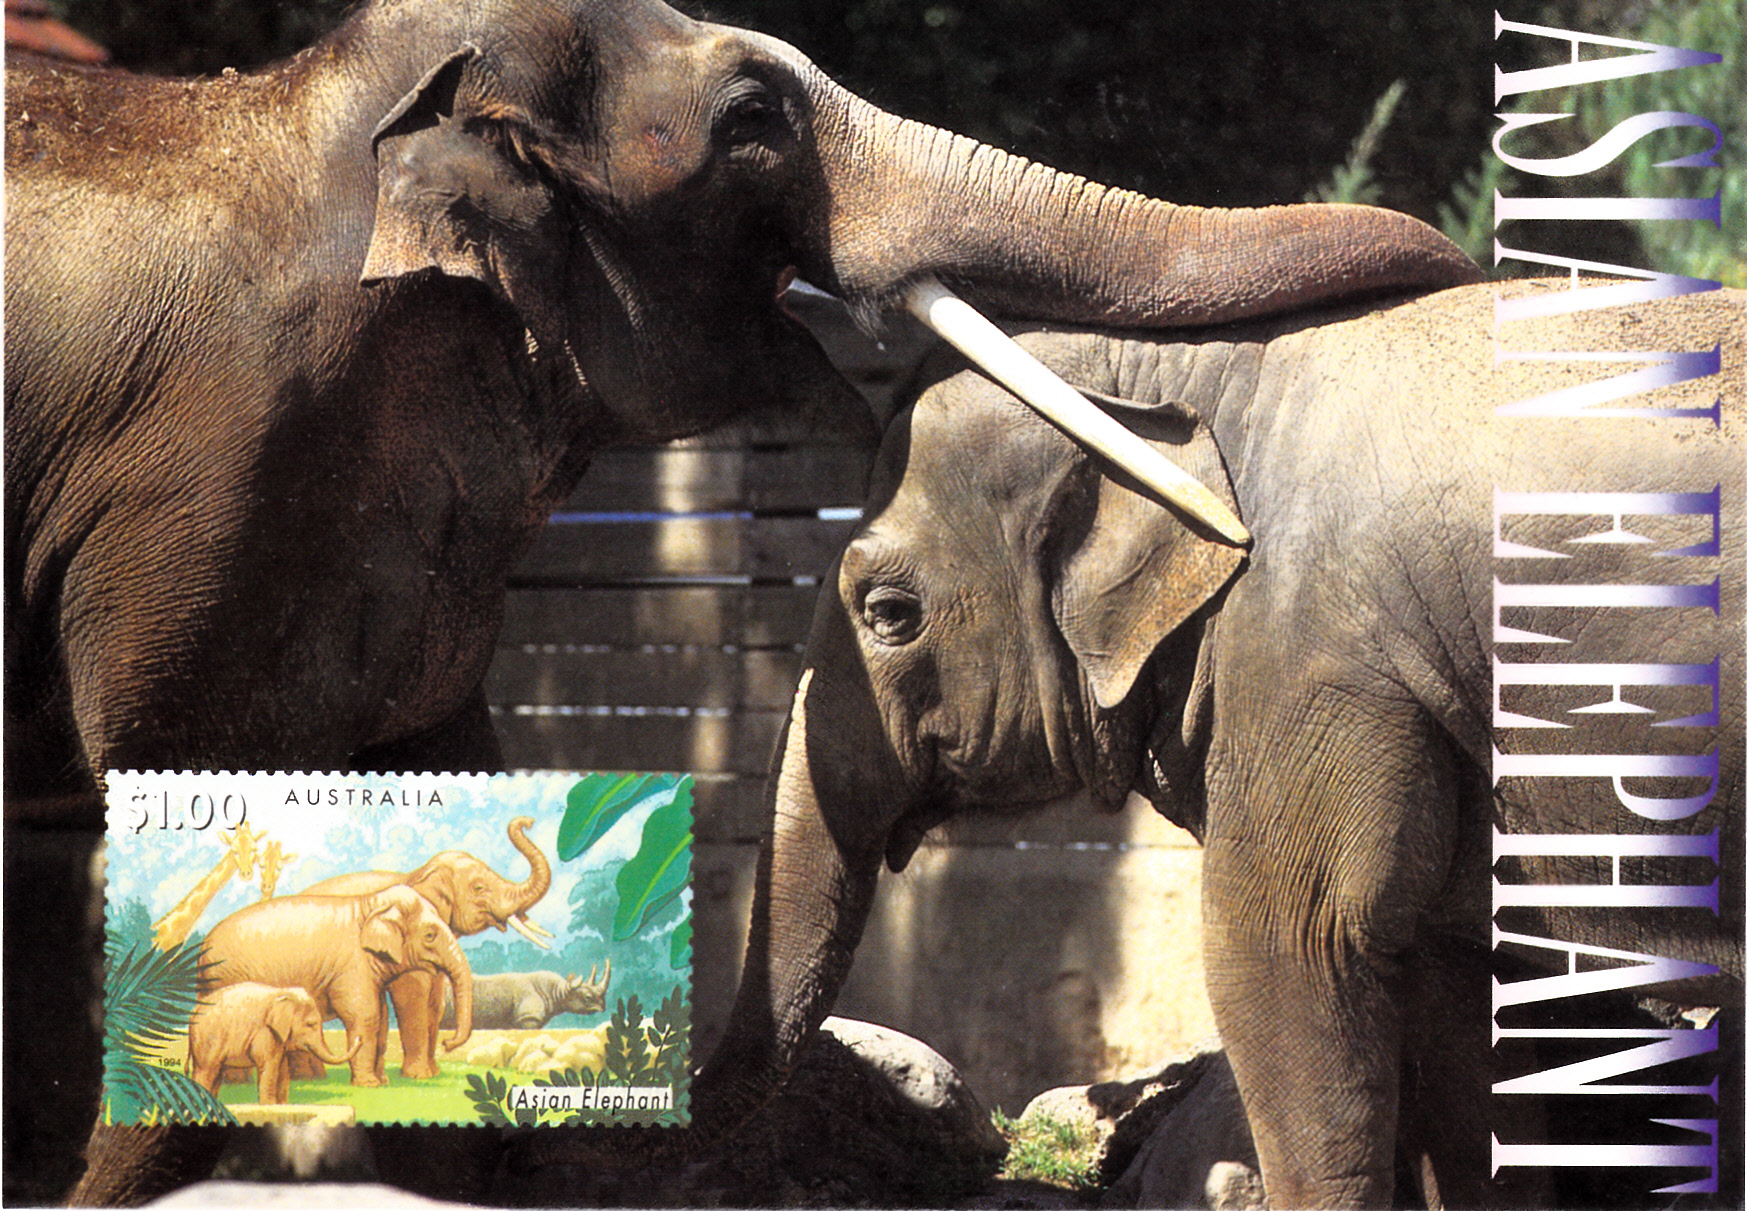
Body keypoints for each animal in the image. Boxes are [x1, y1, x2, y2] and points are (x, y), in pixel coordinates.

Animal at [186, 983, 360, 1104]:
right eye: (310, 1024)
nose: (360, 1038)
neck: (283, 992)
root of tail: (195, 1009)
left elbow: (282, 1068)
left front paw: (282, 1106)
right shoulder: (266, 1032)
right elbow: (269, 1065)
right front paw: (269, 1106)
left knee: (215, 1074)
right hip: (208, 1039)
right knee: (206, 1070)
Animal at [199, 884, 474, 1091]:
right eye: (429, 935)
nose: (447, 1042)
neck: (369, 902)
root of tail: (203, 948)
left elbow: (382, 1017)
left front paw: (382, 1081)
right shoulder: (352, 967)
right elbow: (365, 1015)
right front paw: (369, 1085)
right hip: (227, 977)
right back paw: (237, 1085)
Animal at [298, 816, 552, 1079]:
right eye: (479, 888)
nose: (529, 822)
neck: (421, 872)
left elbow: (436, 1003)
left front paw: (433, 1071)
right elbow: (414, 998)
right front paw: (420, 1076)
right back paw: (311, 1077)